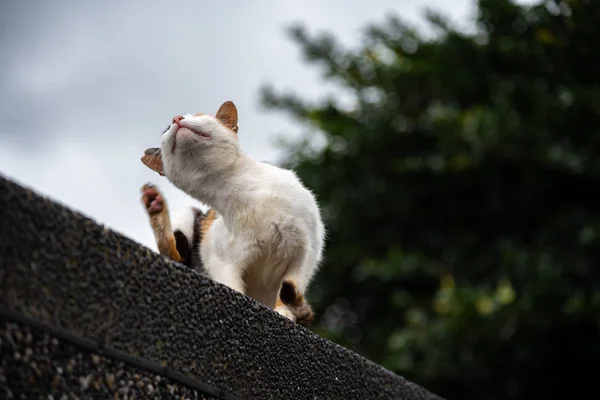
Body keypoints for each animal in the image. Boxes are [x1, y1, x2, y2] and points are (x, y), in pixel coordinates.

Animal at [139, 101, 326, 326]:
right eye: (167, 129)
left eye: (198, 115)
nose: (177, 118)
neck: (237, 189)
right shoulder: (222, 262)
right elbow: (234, 285)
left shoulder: (306, 252)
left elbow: (291, 285)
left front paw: (285, 313)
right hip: (188, 217)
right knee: (174, 254)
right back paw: (155, 206)